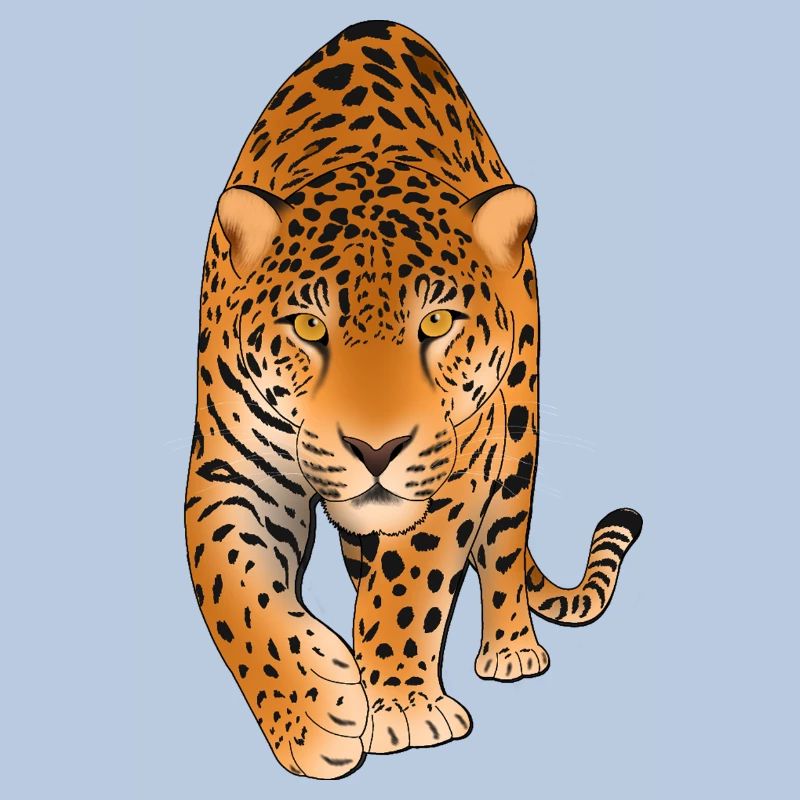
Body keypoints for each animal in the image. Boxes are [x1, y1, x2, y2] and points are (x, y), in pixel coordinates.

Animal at [185, 19, 642, 780]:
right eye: (310, 327)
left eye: (436, 323)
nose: (376, 450)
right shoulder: (231, 467)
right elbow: (233, 586)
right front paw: (314, 712)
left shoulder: (458, 466)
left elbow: (410, 581)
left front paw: (399, 704)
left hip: (517, 430)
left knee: (505, 545)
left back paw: (511, 647)